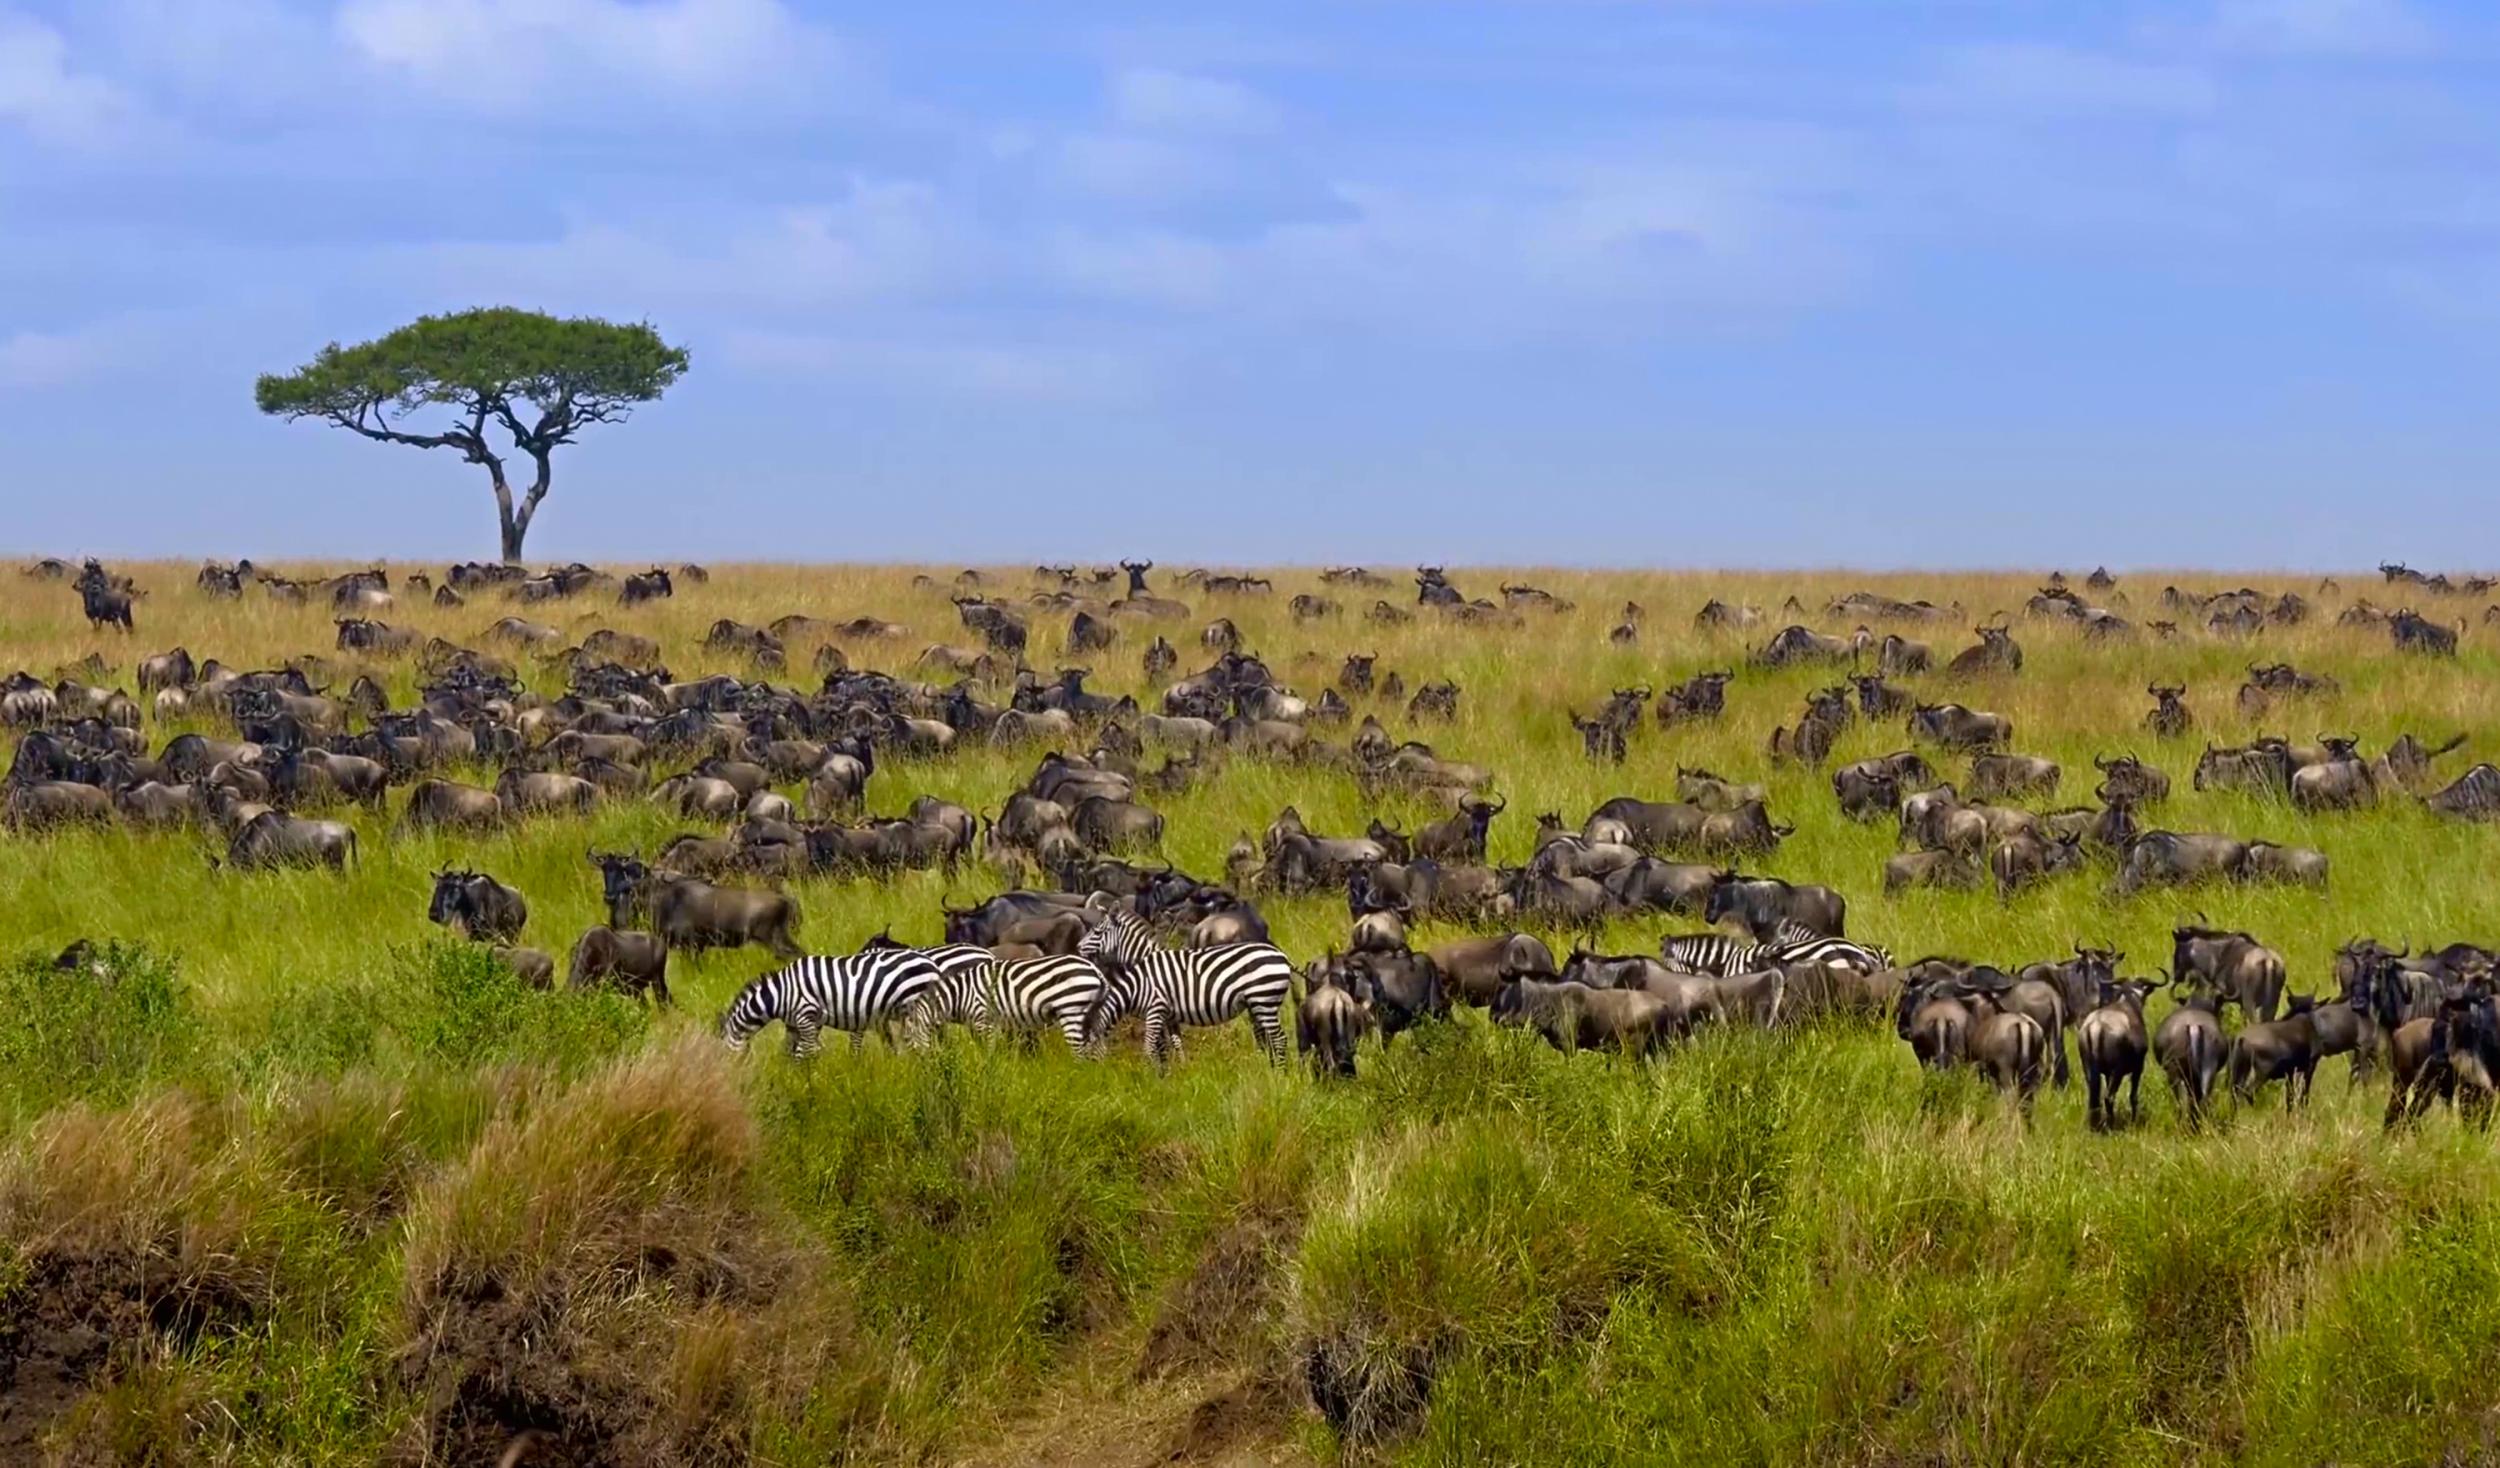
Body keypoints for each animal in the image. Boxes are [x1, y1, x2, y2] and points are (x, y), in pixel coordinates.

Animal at [730, 955, 955, 1055]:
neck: (782, 993)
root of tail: (933, 965)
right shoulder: (798, 1023)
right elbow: (792, 1052)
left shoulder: (806, 1015)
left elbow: (807, 1052)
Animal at [1070, 895, 1290, 1070]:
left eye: (1097, 932)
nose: (1078, 947)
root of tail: (1281, 955)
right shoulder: (1170, 1015)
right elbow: (1175, 1044)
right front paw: (1180, 1072)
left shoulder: (1158, 1007)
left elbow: (1160, 1046)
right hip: (1257, 1003)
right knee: (1265, 1037)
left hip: (1263, 1000)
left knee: (1277, 1038)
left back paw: (1280, 1074)